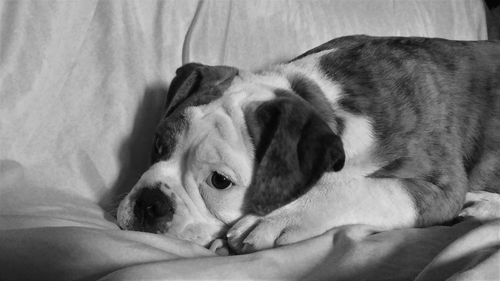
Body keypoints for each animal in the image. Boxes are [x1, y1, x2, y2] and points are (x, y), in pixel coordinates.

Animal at [116, 35, 500, 252]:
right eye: (158, 145)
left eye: (219, 182)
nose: (150, 203)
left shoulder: (440, 185)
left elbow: (372, 188)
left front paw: (277, 216)